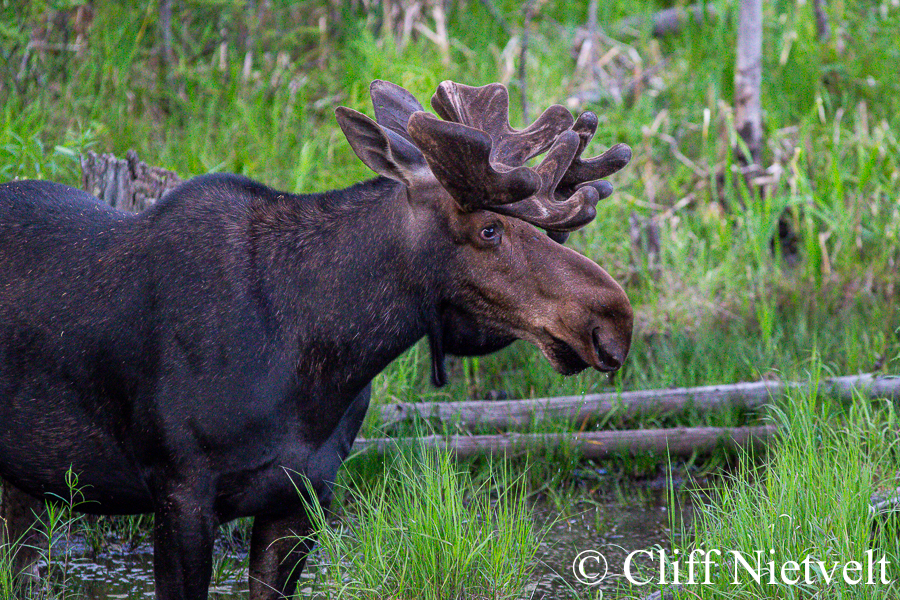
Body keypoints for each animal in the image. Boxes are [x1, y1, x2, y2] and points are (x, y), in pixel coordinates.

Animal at [0, 81, 632, 600]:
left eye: (551, 230)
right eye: (489, 229)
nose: (614, 320)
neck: (320, 364)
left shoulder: (301, 500)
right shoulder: (180, 490)